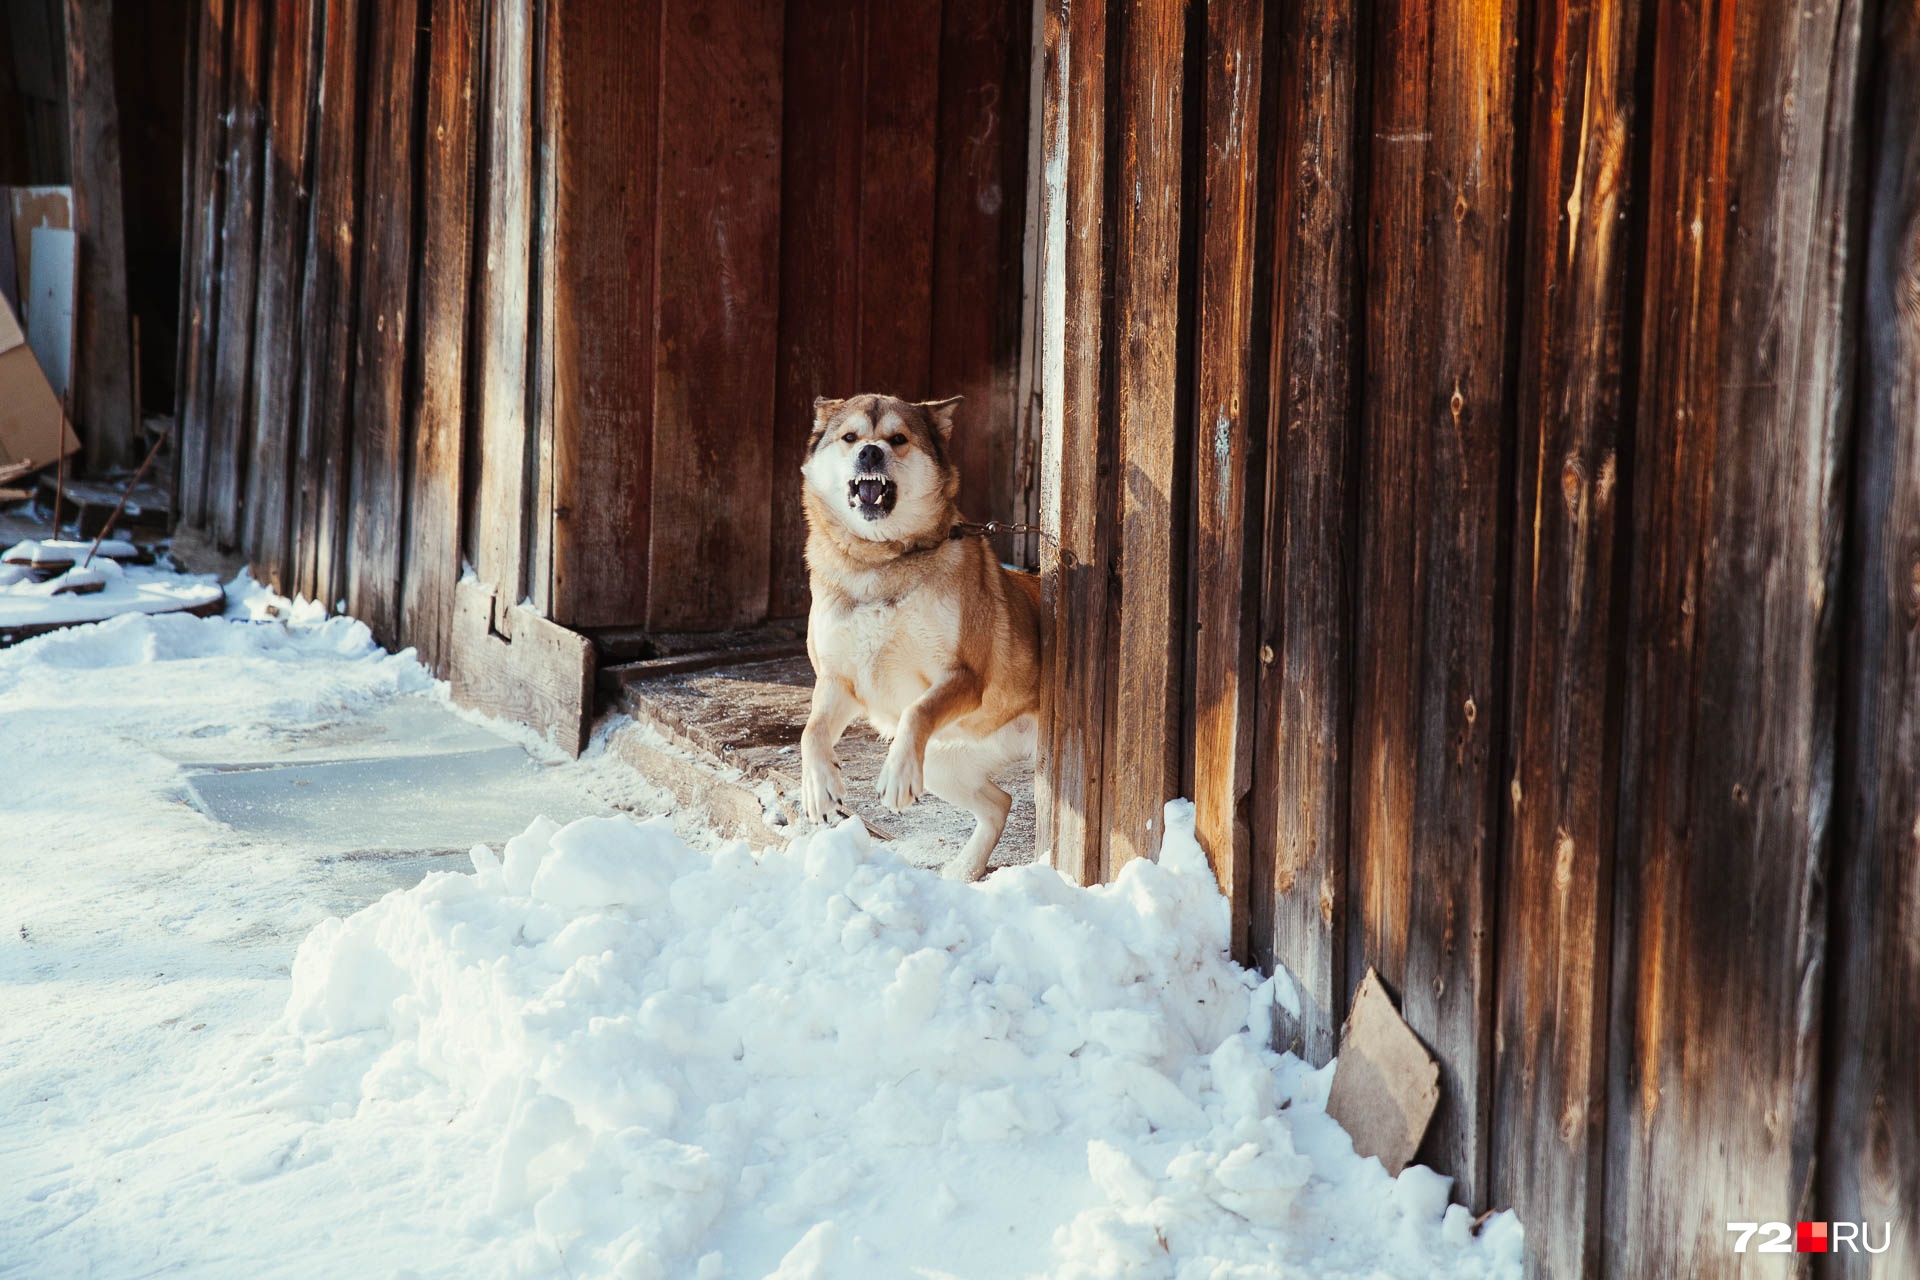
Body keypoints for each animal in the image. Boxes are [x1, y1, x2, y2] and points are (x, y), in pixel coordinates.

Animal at [798, 393, 1052, 882]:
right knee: (999, 803)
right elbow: (811, 731)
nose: (870, 453)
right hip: (938, 765)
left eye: (898, 439)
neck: (880, 561)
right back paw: (965, 870)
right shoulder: (839, 681)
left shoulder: (964, 677)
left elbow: (918, 709)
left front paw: (895, 779)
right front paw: (820, 789)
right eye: (850, 438)